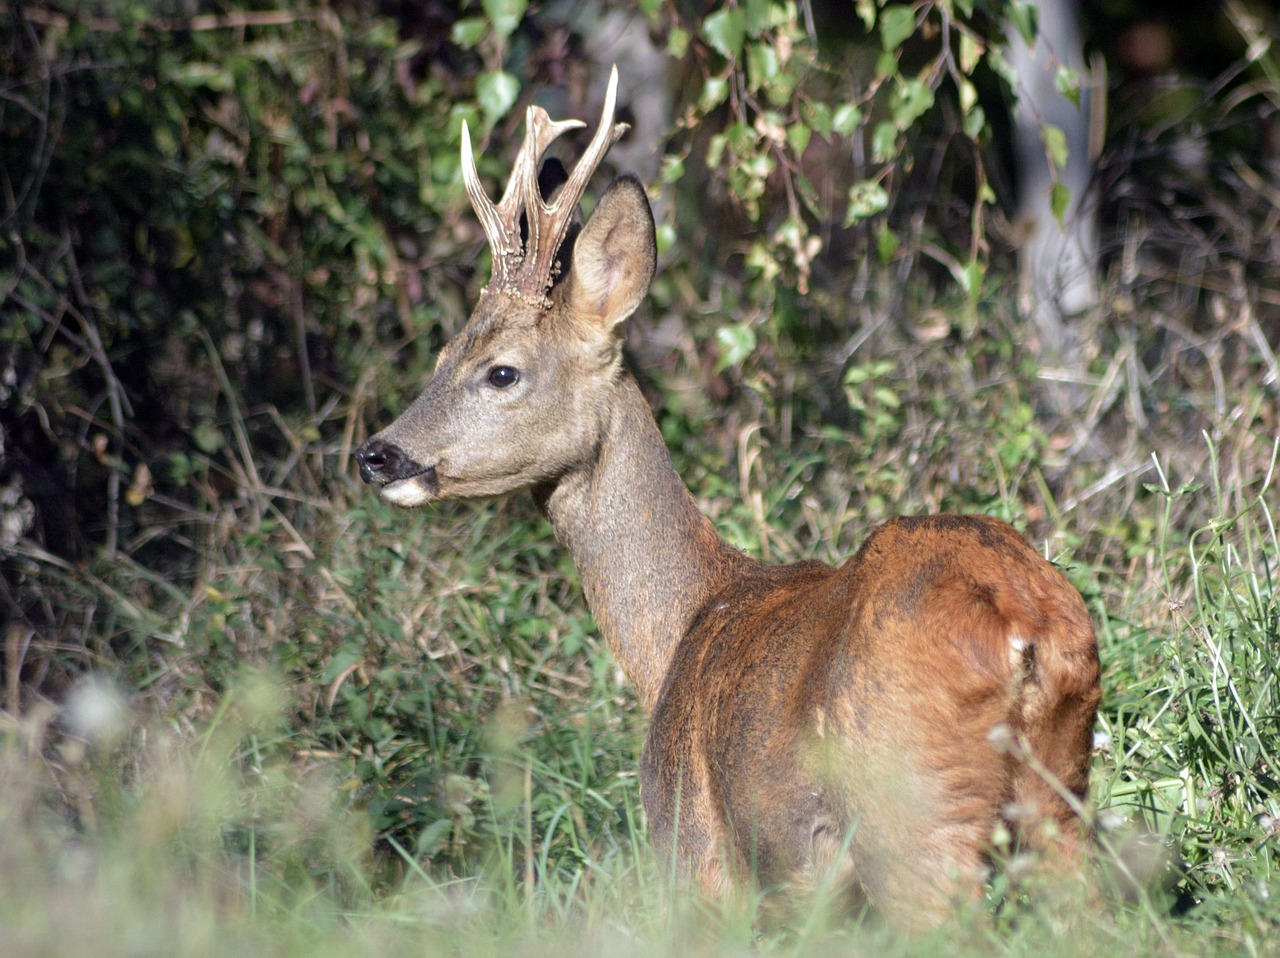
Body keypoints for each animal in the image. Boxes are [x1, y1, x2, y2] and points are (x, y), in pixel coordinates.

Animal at [354, 68, 1102, 930]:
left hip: (912, 810)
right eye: (445, 351)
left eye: (501, 370)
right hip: (1060, 797)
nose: (377, 454)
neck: (678, 629)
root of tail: (1029, 633)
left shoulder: (698, 853)